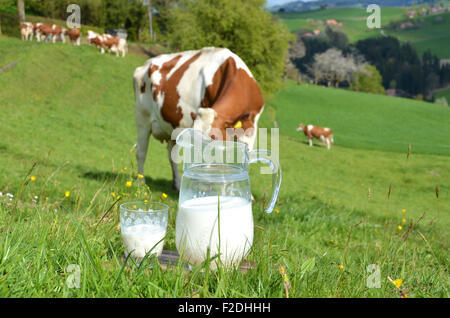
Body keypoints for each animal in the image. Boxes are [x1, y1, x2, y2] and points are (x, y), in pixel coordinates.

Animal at [134, 47, 268, 189]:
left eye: (214, 138)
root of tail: (146, 64)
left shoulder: (250, 130)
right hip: (142, 118)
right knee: (141, 152)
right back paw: (141, 183)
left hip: (171, 127)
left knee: (172, 155)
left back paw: (177, 184)